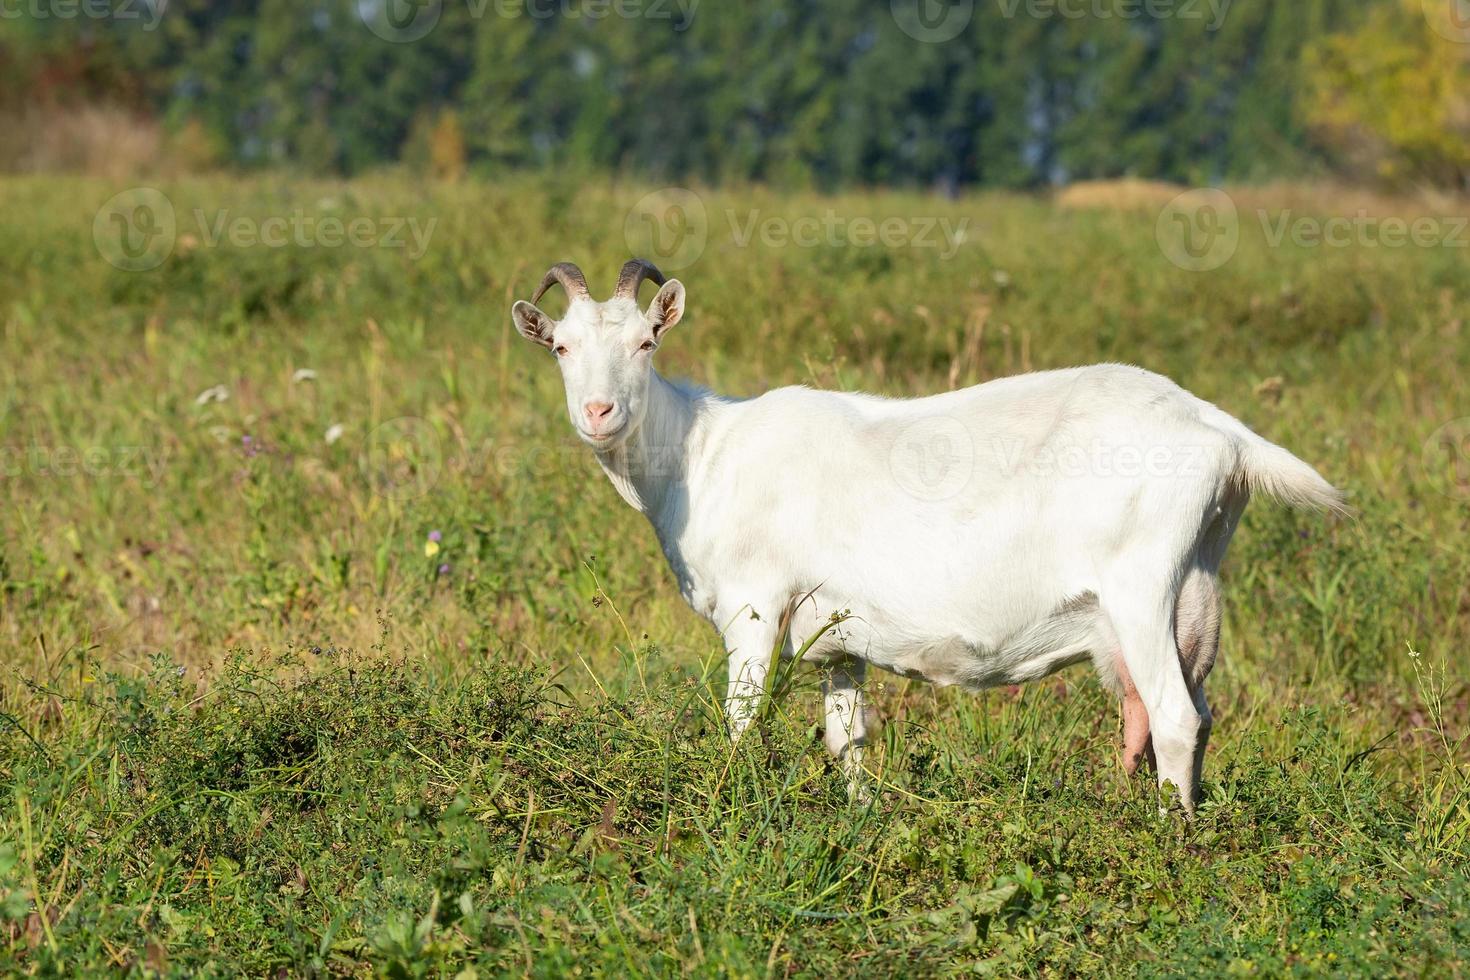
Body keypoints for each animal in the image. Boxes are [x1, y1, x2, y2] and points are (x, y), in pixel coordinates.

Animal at [514, 258, 1346, 811]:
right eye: (561, 347)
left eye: (646, 344)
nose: (598, 413)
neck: (702, 452)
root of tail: (1220, 432)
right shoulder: (836, 637)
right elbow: (847, 736)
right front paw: (858, 820)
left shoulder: (754, 605)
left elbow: (742, 721)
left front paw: (734, 811)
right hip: (1196, 590)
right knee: (1170, 710)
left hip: (1143, 583)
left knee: (1174, 715)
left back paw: (1173, 844)